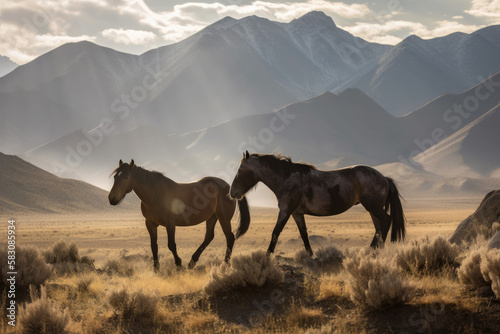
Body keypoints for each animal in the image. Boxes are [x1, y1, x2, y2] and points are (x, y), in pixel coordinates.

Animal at [109, 158, 250, 270]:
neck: (155, 194)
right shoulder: (150, 224)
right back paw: (192, 262)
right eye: (115, 177)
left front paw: (179, 265)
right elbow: (154, 246)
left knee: (230, 237)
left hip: (224, 218)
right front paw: (156, 269)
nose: (112, 199)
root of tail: (230, 188)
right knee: (209, 237)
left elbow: (171, 245)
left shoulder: (170, 223)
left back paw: (225, 264)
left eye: (126, 177)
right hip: (212, 217)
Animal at [229, 151, 404, 256]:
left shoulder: (285, 211)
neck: (286, 178)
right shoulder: (296, 213)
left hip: (374, 207)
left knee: (386, 221)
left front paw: (267, 256)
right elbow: (304, 234)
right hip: (372, 209)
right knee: (378, 227)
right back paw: (372, 249)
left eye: (241, 169)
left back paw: (377, 250)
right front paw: (311, 255)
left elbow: (275, 233)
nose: (232, 192)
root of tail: (384, 177)